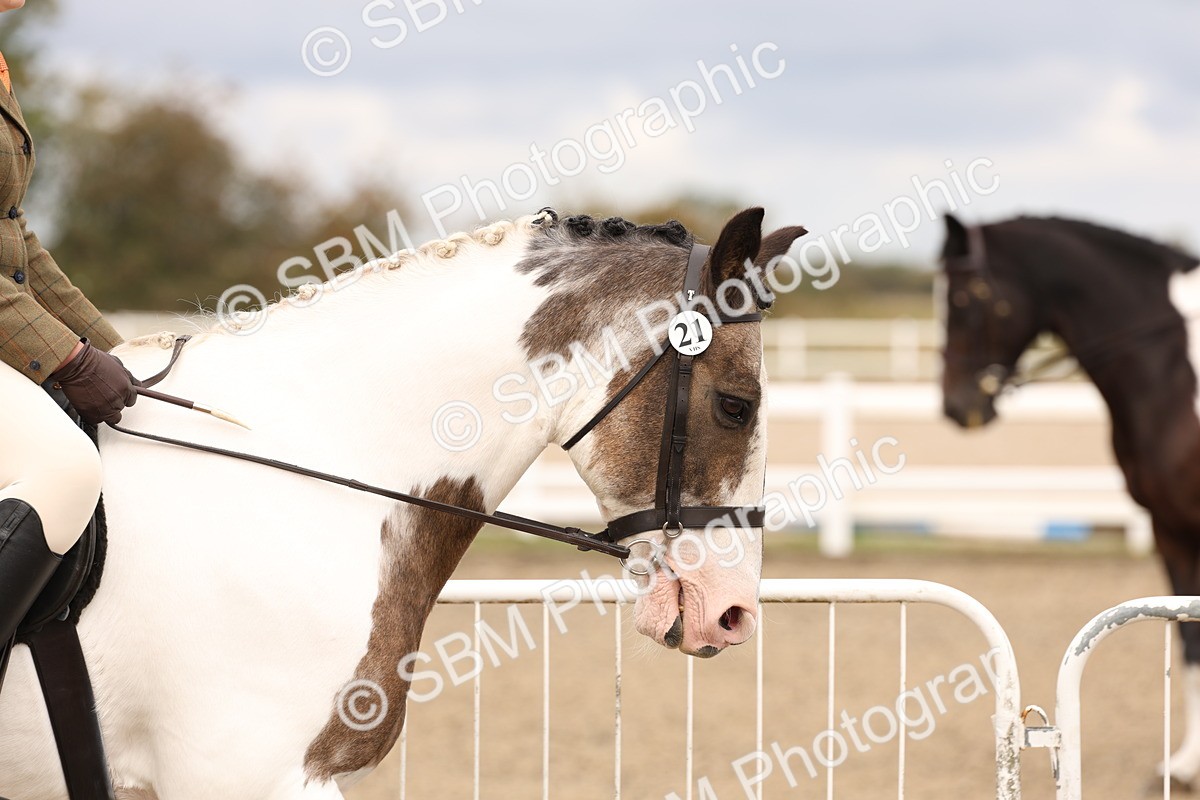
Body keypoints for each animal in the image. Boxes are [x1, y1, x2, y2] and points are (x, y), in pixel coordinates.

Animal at [937, 212, 1200, 786]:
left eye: (967, 297)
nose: (955, 406)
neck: (1177, 368)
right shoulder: (1170, 530)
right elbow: (1187, 641)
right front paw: (1184, 765)